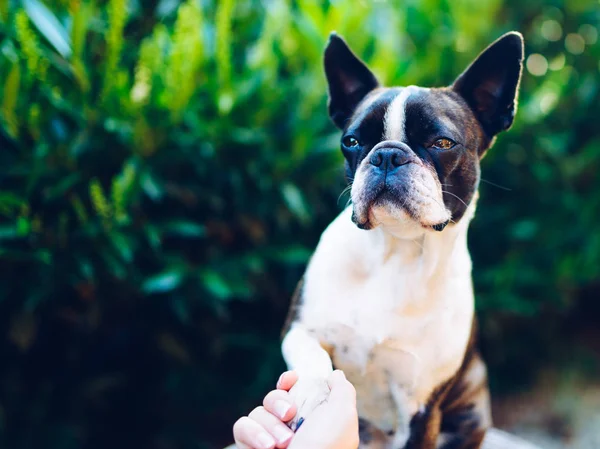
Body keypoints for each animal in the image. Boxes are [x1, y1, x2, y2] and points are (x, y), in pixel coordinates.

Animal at [278, 32, 524, 448]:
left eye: (442, 143)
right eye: (351, 141)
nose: (388, 155)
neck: (395, 252)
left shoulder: (421, 407)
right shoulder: (298, 330)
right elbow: (313, 359)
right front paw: (313, 393)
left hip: (471, 412)